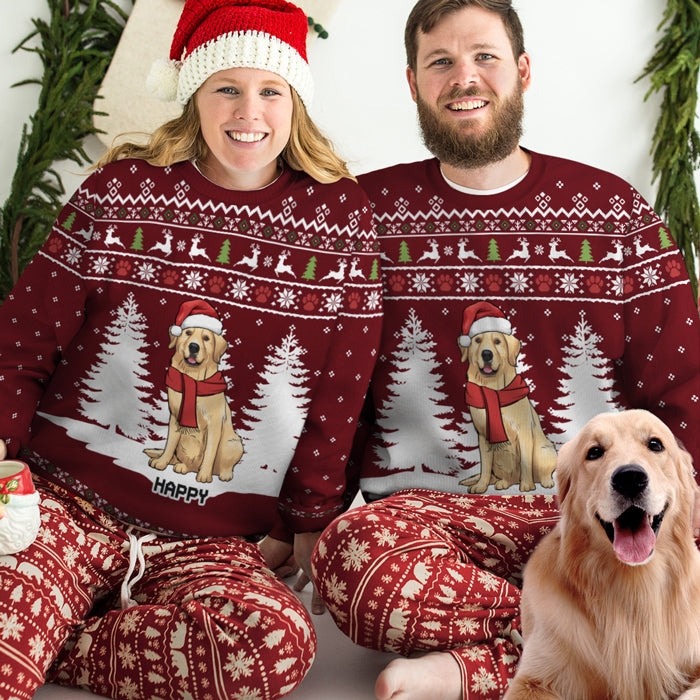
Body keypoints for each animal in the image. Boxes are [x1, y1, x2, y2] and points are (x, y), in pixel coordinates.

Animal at [142, 326, 243, 482]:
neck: (193, 378)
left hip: (233, 443)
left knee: (224, 465)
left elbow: (209, 452)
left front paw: (204, 475)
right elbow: (169, 444)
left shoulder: (214, 424)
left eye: (206, 338)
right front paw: (161, 462)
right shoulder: (175, 417)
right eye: (188, 333)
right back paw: (182, 466)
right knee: (185, 461)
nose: (194, 346)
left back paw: (224, 474)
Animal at [460, 330, 556, 494]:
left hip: (545, 450)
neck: (494, 390)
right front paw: (481, 486)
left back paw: (545, 481)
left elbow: (525, 462)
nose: (487, 354)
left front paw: (527, 485)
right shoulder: (484, 436)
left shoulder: (524, 433)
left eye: (497, 341)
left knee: (543, 472)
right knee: (507, 477)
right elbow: (485, 467)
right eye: (477, 340)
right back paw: (503, 483)